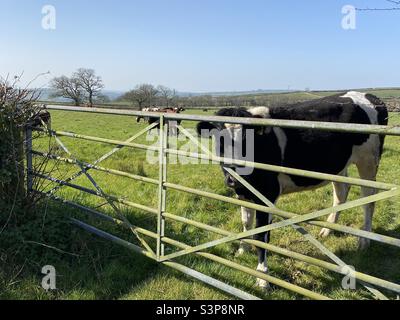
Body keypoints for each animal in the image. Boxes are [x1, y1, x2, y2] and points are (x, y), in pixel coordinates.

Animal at [197, 91, 388, 288]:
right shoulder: (243, 193)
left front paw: (262, 276)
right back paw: (326, 230)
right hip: (339, 166)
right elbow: (246, 223)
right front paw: (243, 249)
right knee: (341, 192)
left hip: (368, 161)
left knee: (369, 199)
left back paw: (364, 240)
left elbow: (262, 236)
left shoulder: (268, 193)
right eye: (219, 142)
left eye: (247, 142)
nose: (234, 178)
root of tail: (368, 95)